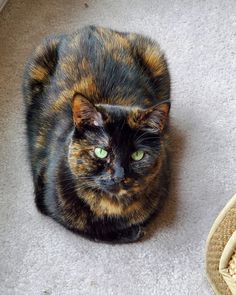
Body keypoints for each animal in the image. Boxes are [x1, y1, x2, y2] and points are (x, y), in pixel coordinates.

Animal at [23, 25, 171, 244]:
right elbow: (92, 230)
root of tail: (90, 28)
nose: (119, 176)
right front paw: (130, 231)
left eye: (138, 155)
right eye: (101, 152)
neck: (112, 205)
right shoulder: (43, 199)